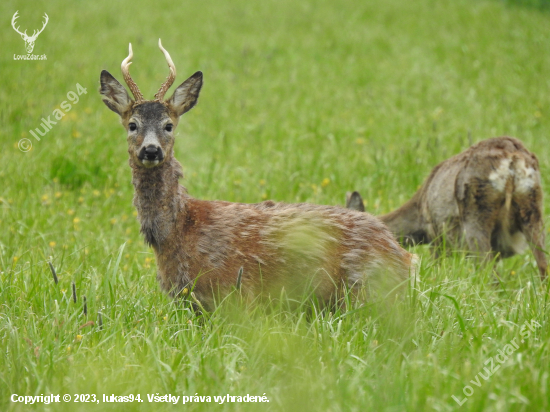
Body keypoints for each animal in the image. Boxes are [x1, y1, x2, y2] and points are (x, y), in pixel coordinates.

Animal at [348, 138, 548, 280]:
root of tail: (512, 158)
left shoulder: (437, 237)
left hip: (475, 216)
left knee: (489, 274)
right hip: (533, 209)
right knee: (544, 267)